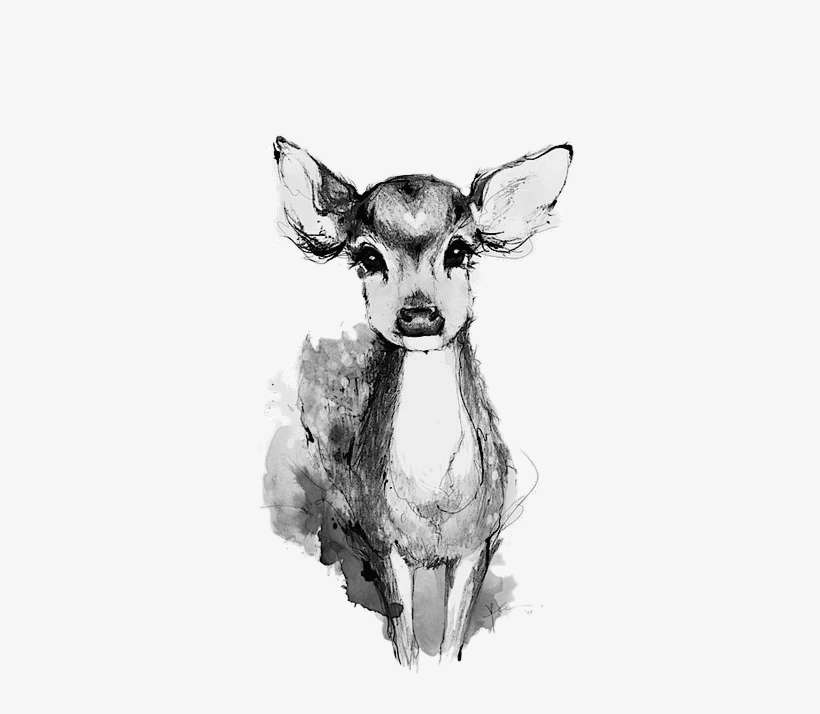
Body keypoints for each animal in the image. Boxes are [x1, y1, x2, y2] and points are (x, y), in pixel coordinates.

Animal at [270, 137, 573, 666]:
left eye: (459, 248)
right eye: (368, 256)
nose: (419, 316)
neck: (433, 503)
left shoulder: (479, 540)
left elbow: (451, 640)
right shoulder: (382, 540)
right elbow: (407, 641)